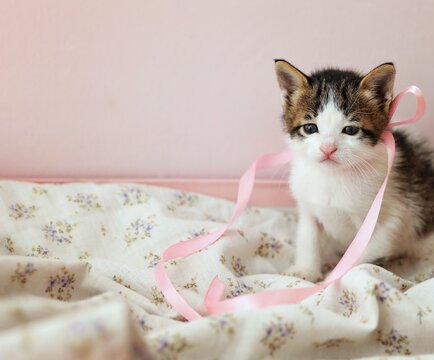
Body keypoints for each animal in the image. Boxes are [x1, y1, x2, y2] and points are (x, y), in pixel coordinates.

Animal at [274, 59, 434, 282]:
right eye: (310, 128)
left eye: (350, 130)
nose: (328, 148)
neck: (332, 176)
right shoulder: (308, 207)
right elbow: (308, 237)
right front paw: (305, 270)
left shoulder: (385, 218)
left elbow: (362, 254)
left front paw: (340, 277)